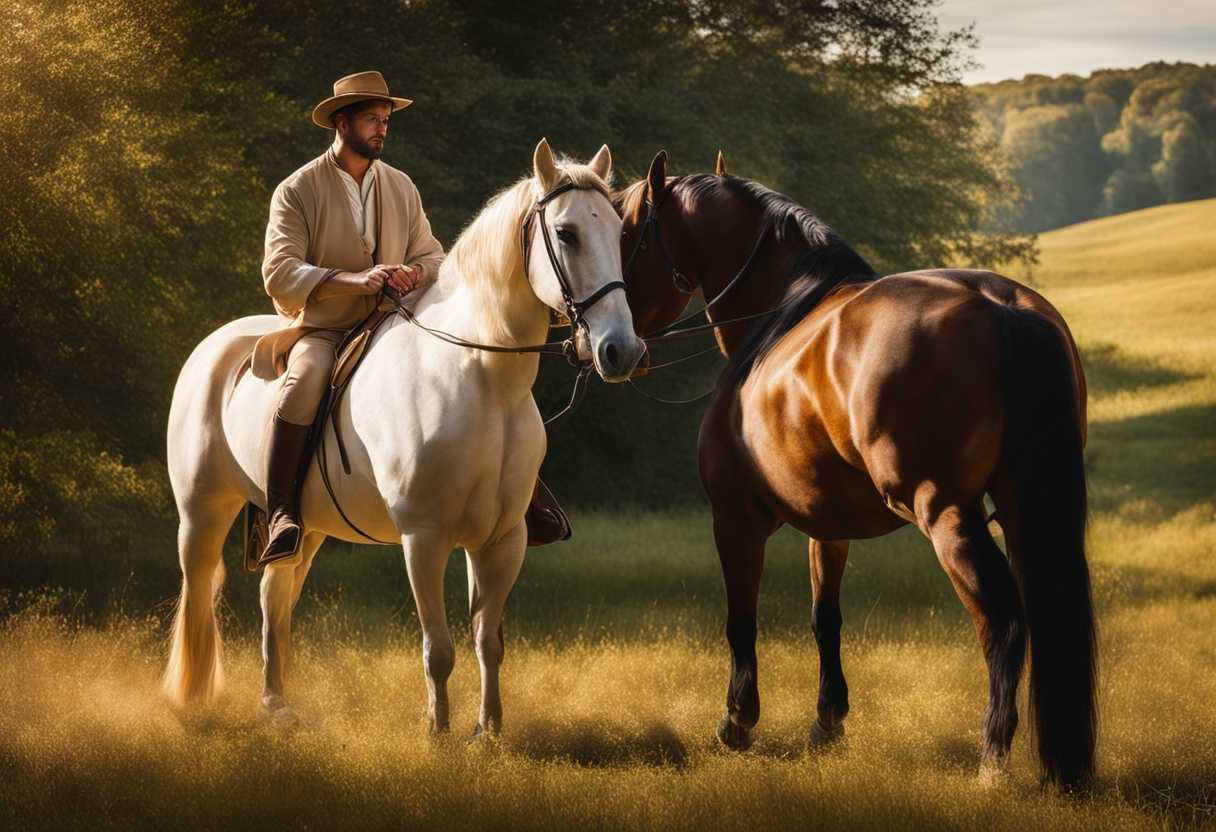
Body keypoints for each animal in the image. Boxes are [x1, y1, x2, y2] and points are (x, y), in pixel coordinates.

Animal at [163, 140, 645, 735]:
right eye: (567, 233)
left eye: (618, 233)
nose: (622, 350)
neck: (481, 380)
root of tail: (212, 348)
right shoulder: (424, 538)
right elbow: (438, 648)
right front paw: (438, 731)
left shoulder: (501, 540)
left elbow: (488, 642)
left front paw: (489, 730)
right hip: (202, 513)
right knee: (198, 592)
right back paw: (191, 700)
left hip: (305, 528)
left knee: (274, 595)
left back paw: (276, 705)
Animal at [614, 151, 1095, 789]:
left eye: (625, 234)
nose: (607, 345)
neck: (780, 312)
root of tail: (1003, 308)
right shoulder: (828, 526)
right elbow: (826, 618)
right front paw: (827, 721)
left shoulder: (735, 520)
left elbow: (741, 620)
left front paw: (738, 721)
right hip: (1021, 508)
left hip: (947, 514)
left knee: (1003, 622)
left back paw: (992, 758)